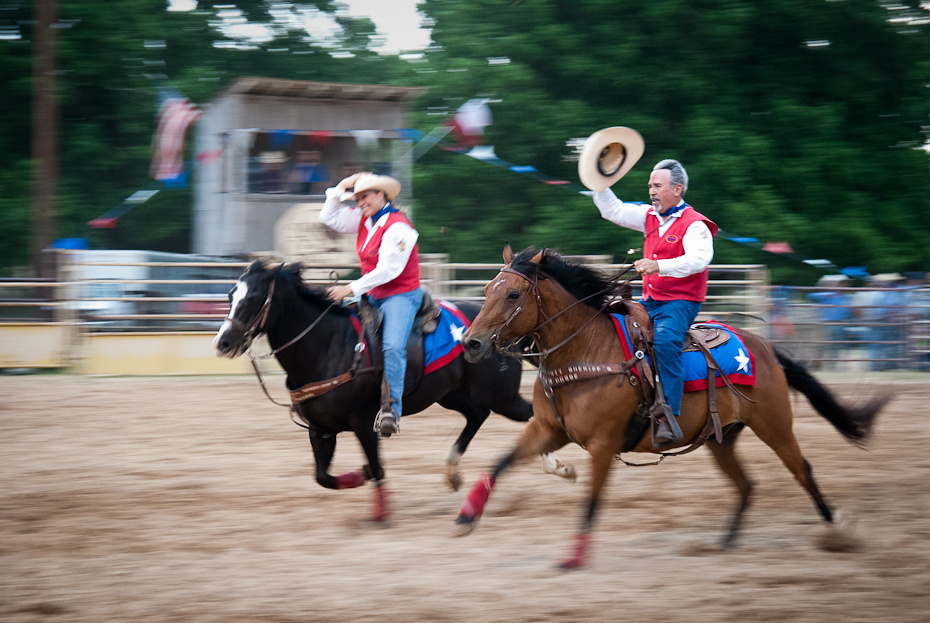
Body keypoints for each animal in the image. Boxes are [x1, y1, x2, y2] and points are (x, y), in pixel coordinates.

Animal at [214, 260, 572, 524]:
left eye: (254, 299)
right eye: (231, 295)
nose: (223, 343)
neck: (329, 346)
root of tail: (500, 330)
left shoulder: (363, 423)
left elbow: (376, 466)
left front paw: (380, 512)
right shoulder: (320, 429)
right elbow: (323, 476)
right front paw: (356, 477)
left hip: (500, 396)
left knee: (531, 416)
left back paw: (559, 467)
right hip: (453, 395)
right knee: (477, 415)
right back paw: (452, 472)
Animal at [454, 246, 888, 568]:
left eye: (512, 294)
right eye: (488, 289)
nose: (471, 343)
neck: (586, 351)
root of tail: (764, 347)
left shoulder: (603, 444)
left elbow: (592, 500)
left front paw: (574, 558)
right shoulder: (548, 430)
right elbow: (499, 463)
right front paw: (465, 517)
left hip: (775, 425)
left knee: (803, 470)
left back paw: (837, 529)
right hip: (721, 439)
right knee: (747, 484)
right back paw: (725, 542)